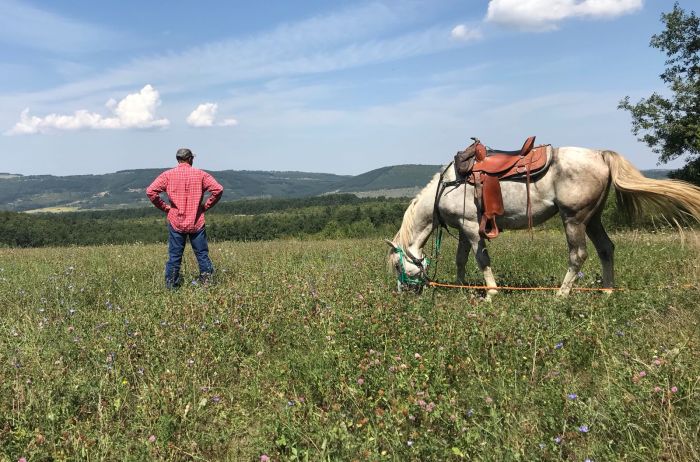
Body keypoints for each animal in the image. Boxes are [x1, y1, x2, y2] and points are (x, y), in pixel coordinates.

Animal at [386, 146, 700, 296]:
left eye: (399, 267)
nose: (406, 292)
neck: (448, 185)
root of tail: (600, 155)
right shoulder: (465, 229)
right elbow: (462, 259)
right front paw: (463, 289)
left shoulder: (473, 227)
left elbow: (481, 259)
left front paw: (491, 293)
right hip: (593, 219)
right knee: (606, 249)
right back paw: (607, 292)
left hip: (574, 219)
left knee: (578, 255)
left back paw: (561, 295)